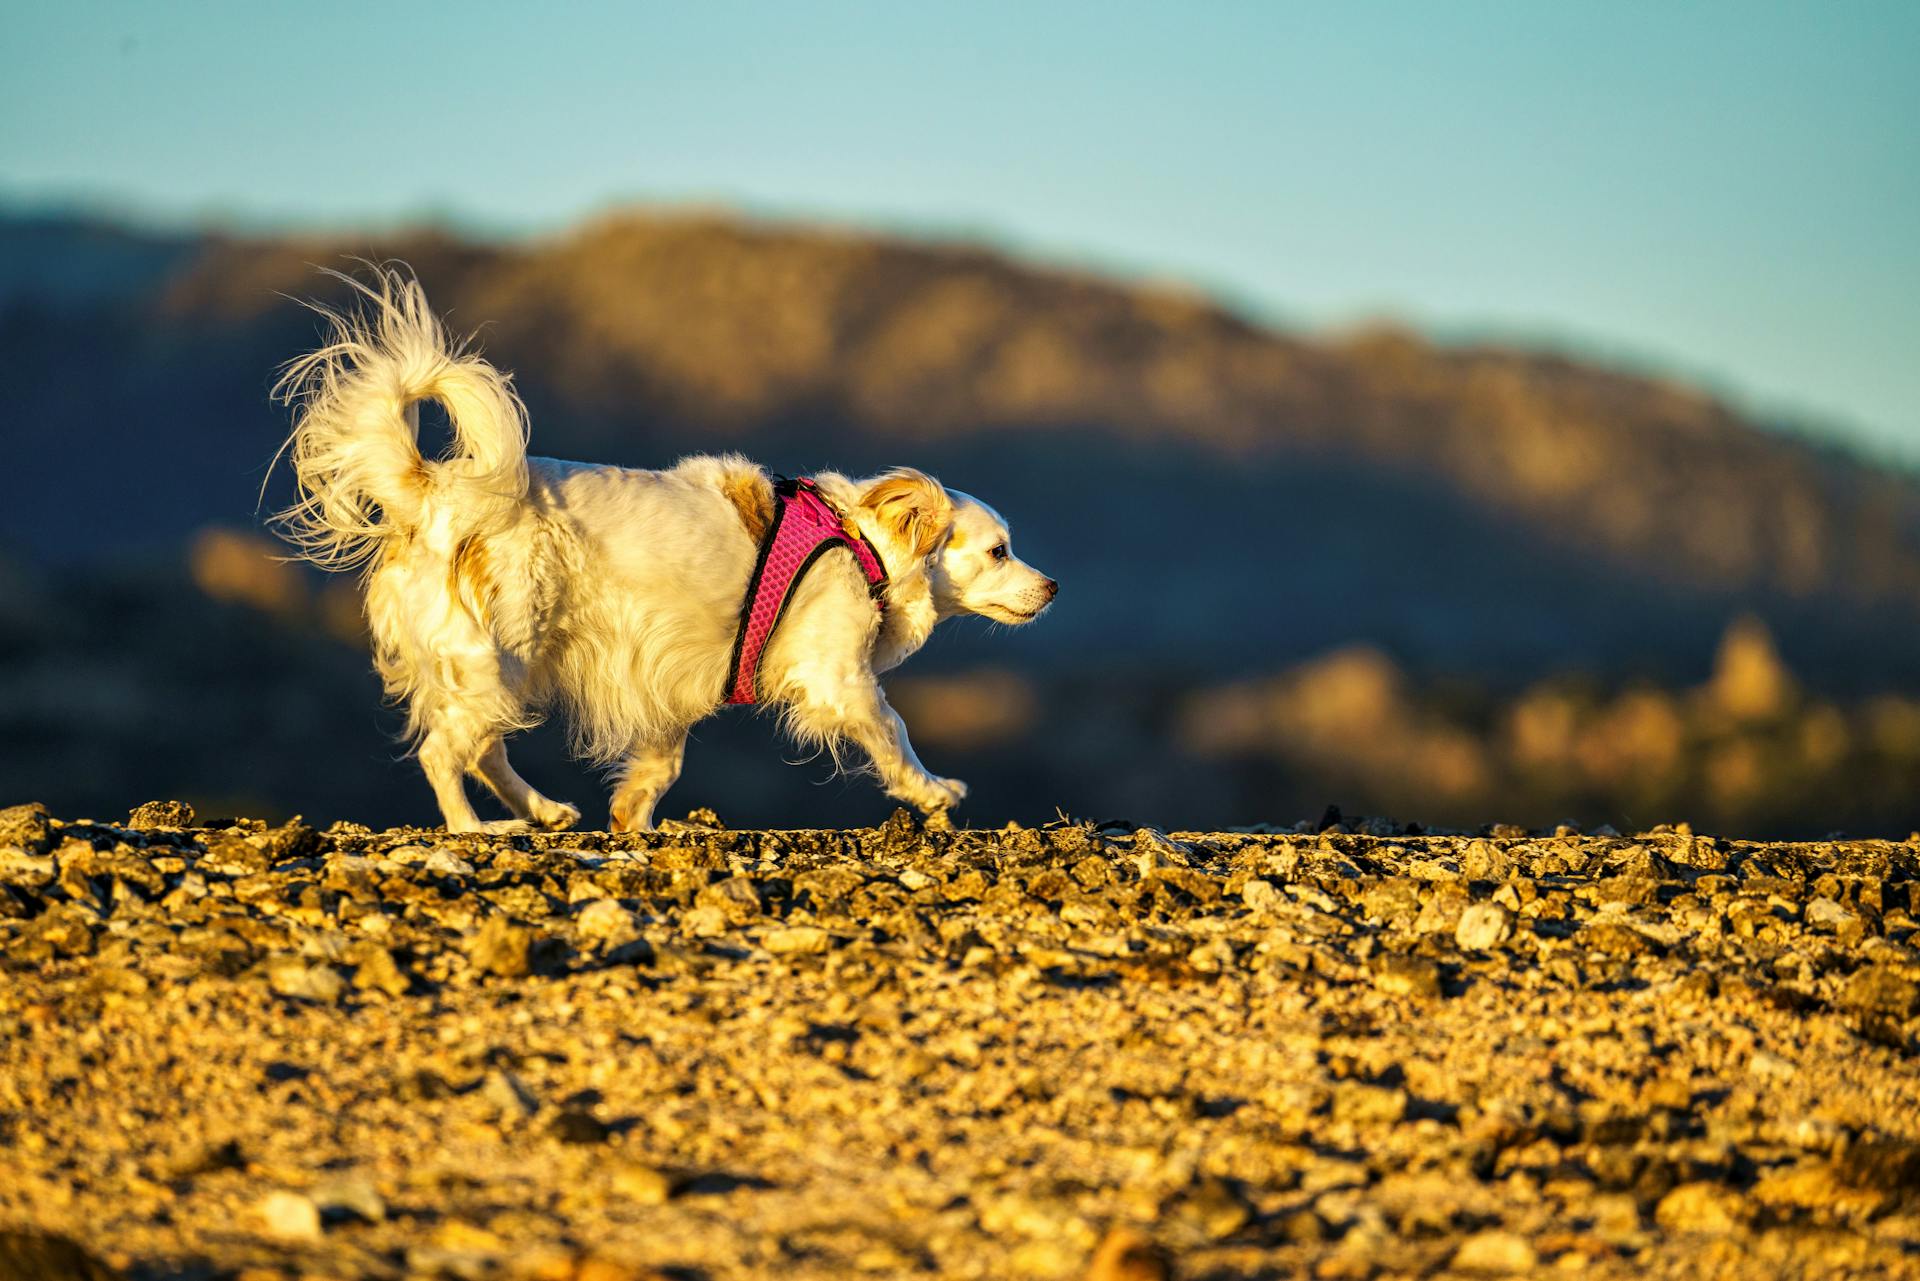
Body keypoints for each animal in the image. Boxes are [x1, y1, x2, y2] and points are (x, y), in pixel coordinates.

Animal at [270, 268, 1059, 833]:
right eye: (999, 551)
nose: (1051, 587)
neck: (862, 541)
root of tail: (434, 492)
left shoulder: (674, 677)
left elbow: (661, 762)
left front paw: (633, 815)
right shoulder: (838, 675)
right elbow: (893, 729)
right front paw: (933, 790)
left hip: (499, 672)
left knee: (483, 746)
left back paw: (543, 810)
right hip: (500, 657)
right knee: (445, 750)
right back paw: (472, 829)